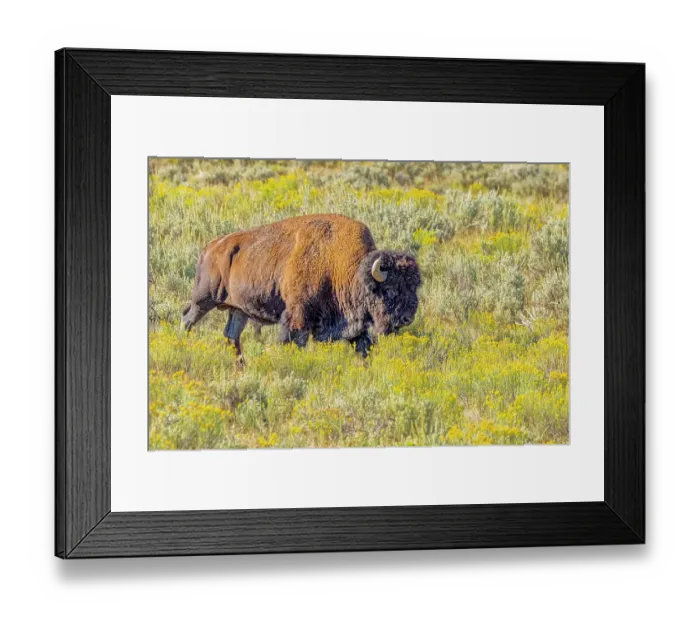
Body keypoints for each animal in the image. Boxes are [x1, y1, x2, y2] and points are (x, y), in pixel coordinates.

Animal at [181, 214, 421, 359]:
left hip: (238, 310)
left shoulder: (355, 327)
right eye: (390, 290)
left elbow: (363, 349)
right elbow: (292, 342)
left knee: (231, 336)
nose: (407, 318)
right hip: (204, 299)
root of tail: (211, 247)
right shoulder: (297, 317)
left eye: (414, 288)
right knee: (187, 319)